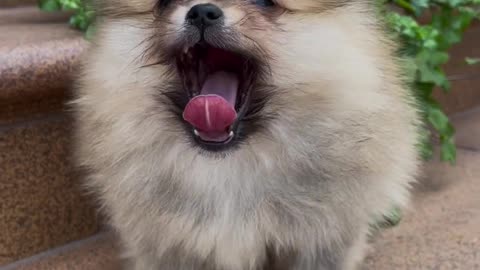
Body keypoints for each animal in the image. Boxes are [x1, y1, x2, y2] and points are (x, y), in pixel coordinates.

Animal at [72, 0, 420, 270]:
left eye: (264, 2)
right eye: (164, 3)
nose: (202, 12)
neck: (226, 167)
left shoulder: (322, 239)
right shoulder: (168, 244)